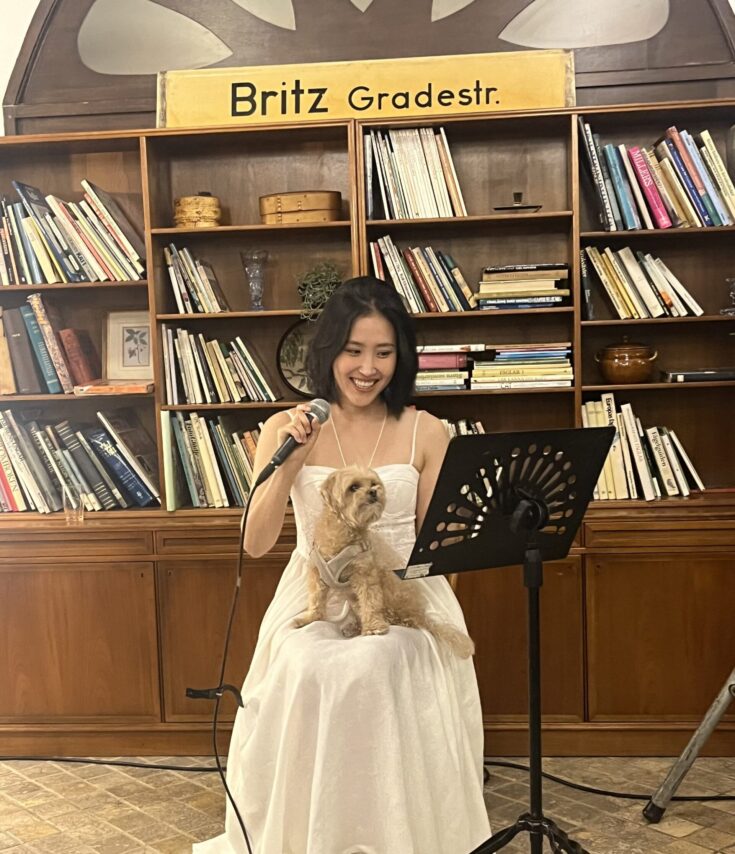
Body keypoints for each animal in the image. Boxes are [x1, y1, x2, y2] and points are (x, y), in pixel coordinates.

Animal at [294, 465, 475, 658]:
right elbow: (315, 598)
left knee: (396, 617)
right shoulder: (317, 573)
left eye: (373, 483)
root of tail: (421, 614)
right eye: (353, 487)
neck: (344, 532)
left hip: (391, 590)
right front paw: (309, 618)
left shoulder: (365, 574)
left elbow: (370, 601)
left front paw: (373, 627)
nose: (374, 491)